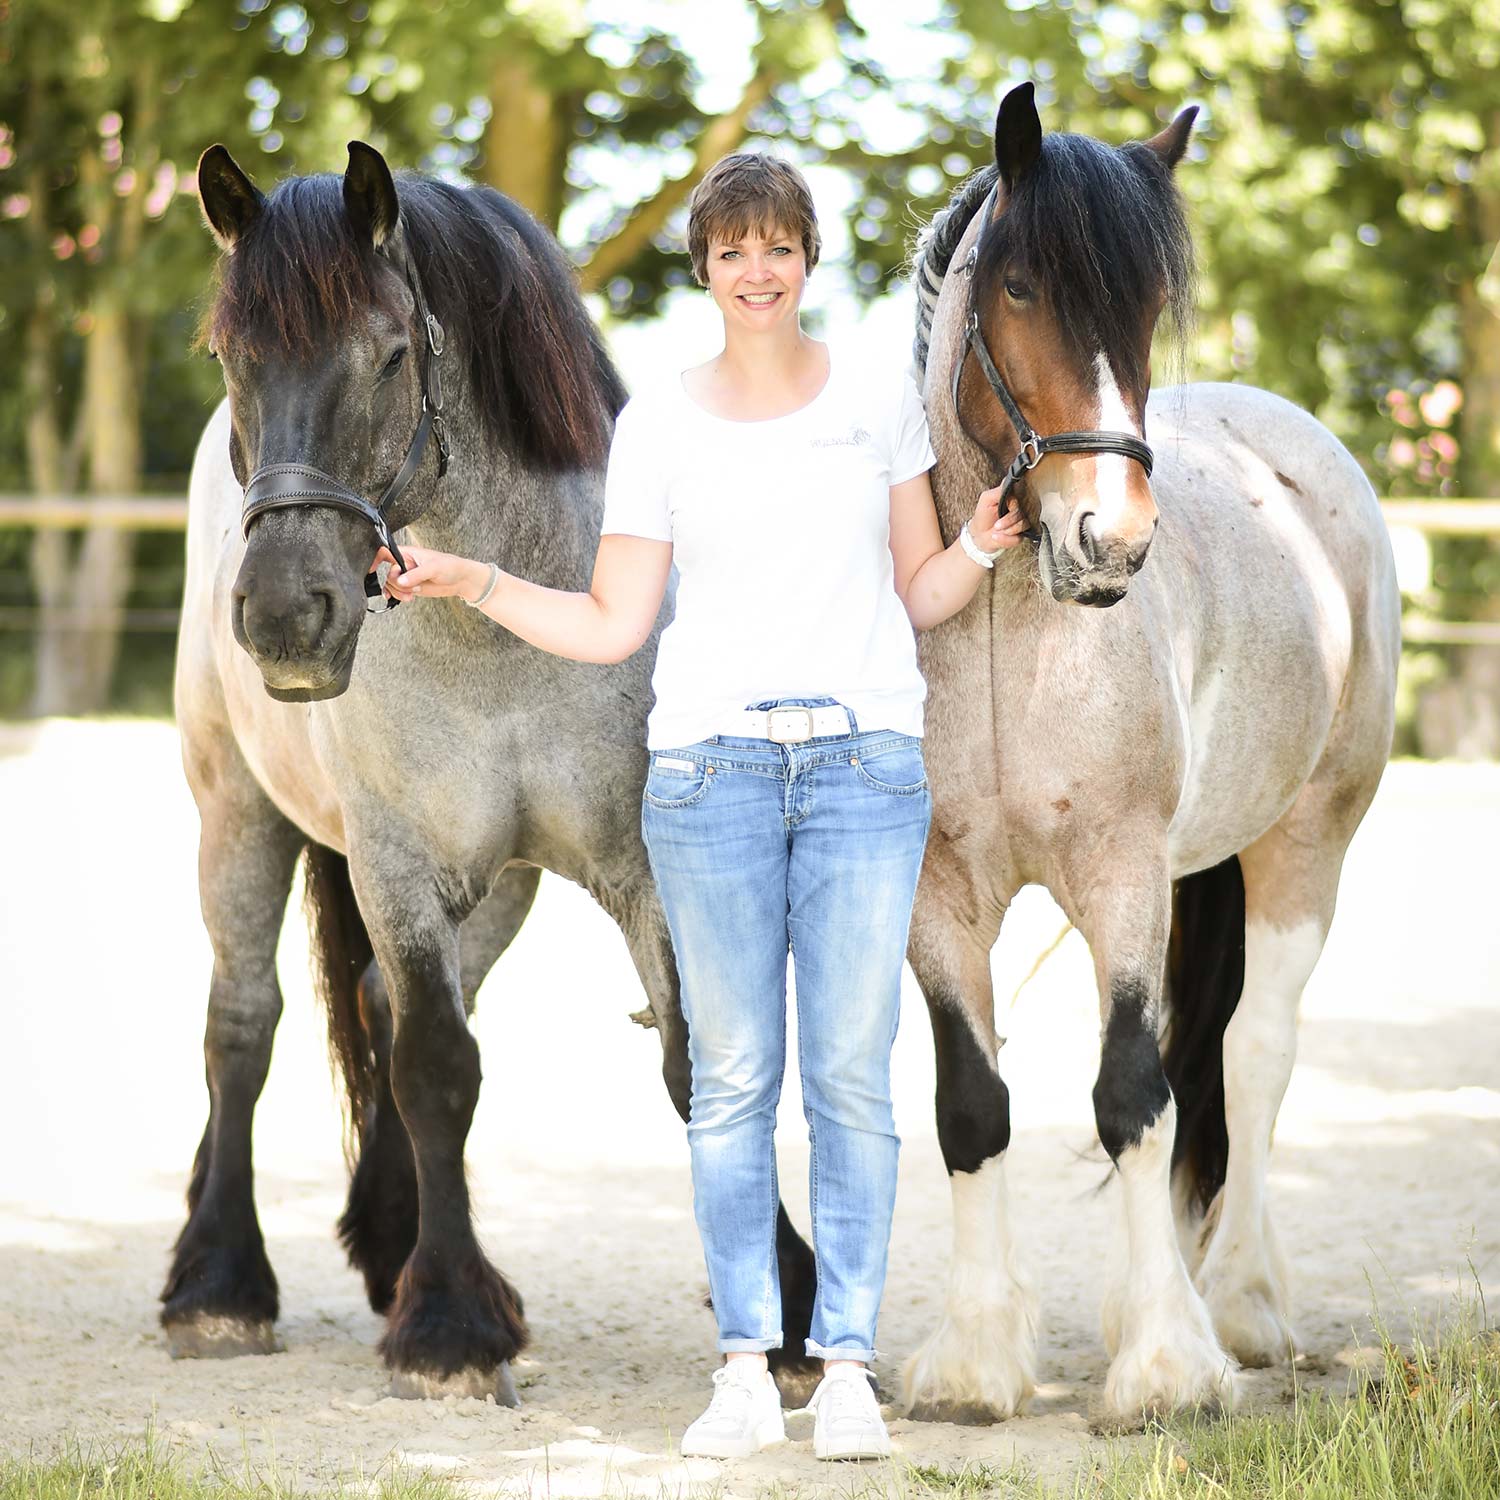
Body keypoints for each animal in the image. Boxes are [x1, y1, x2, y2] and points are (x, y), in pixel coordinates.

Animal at [168, 146, 822, 1398]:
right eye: (229, 358)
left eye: (389, 352)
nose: (284, 615)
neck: (507, 645)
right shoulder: (394, 863)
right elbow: (435, 1068)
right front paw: (453, 1329)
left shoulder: (648, 866)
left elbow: (696, 1061)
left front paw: (789, 1314)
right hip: (236, 814)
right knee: (241, 1025)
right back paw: (218, 1284)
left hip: (501, 885)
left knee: (372, 1007)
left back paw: (389, 1249)